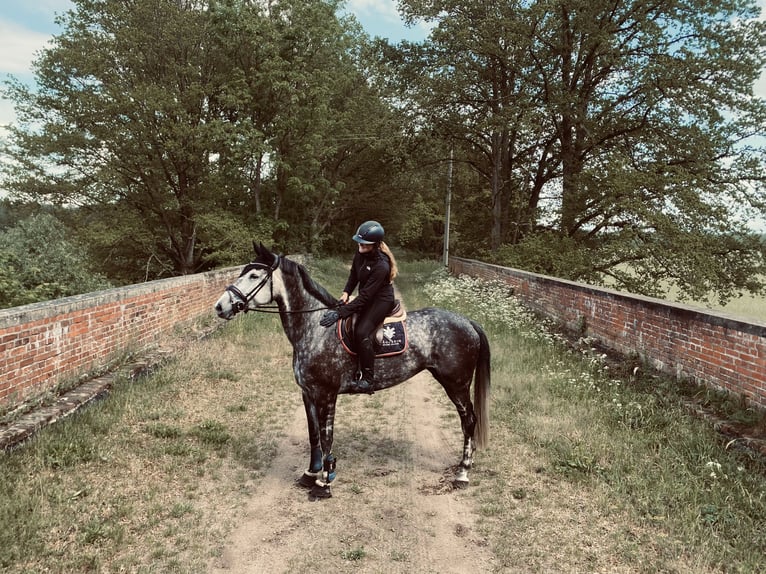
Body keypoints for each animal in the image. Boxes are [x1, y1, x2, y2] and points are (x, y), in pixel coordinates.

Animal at [216, 243, 492, 500]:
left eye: (254, 275)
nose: (220, 307)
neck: (315, 329)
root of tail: (468, 322)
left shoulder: (327, 395)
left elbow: (327, 437)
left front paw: (324, 484)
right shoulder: (308, 394)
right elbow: (313, 435)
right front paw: (310, 474)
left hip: (456, 384)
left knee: (469, 421)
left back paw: (462, 473)